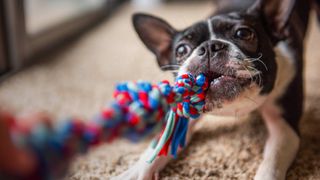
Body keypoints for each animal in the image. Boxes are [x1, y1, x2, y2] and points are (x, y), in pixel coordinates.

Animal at [114, 0, 312, 179]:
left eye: (243, 33)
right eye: (181, 50)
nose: (209, 46)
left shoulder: (285, 127)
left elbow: (272, 161)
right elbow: (161, 143)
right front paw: (136, 171)